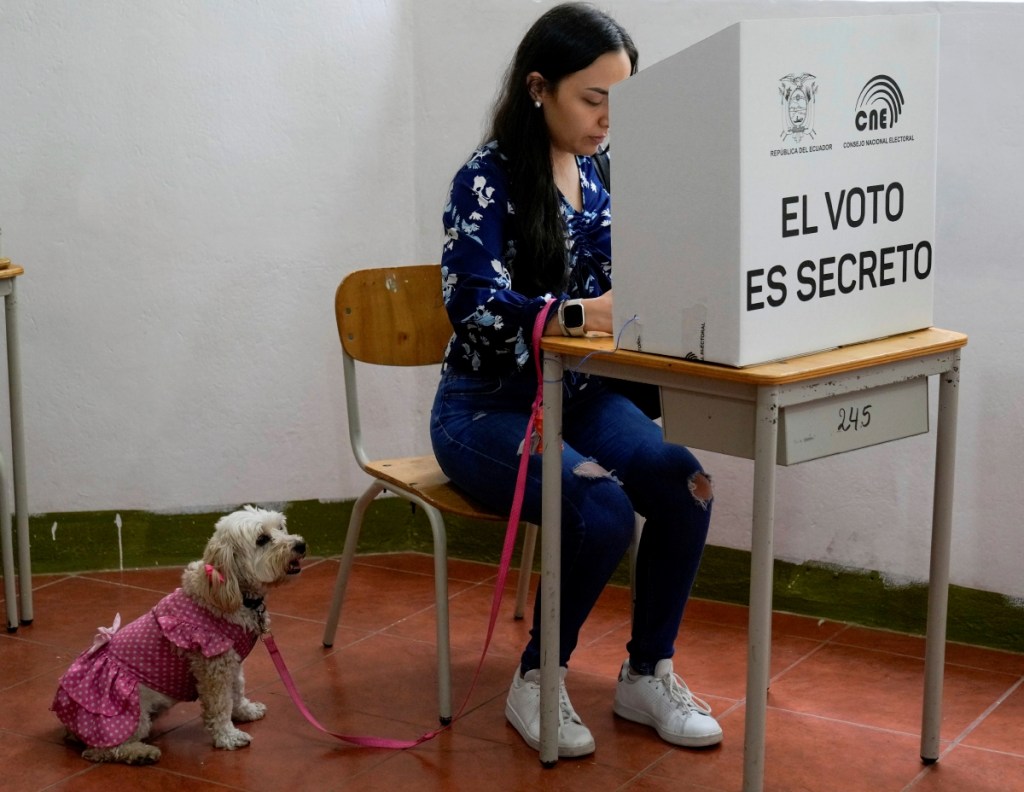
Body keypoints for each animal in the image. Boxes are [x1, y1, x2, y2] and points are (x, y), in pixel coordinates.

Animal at [51, 504, 305, 762]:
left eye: (281, 527)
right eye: (262, 539)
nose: (300, 545)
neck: (231, 594)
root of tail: (68, 724)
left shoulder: (230, 661)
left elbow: (237, 689)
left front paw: (244, 710)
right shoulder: (213, 665)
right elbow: (220, 704)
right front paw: (228, 736)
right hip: (128, 714)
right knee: (102, 749)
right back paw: (142, 753)